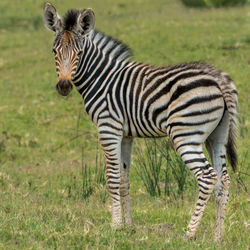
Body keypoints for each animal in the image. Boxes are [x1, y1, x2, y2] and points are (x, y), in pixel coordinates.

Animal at [43, 1, 238, 240]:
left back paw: (190, 233)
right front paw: (129, 226)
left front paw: (115, 225)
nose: (63, 86)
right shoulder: (126, 135)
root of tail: (219, 79)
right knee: (223, 181)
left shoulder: (108, 128)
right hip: (217, 136)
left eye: (79, 53)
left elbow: (112, 177)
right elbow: (124, 180)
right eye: (54, 51)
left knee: (207, 176)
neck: (101, 78)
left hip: (185, 134)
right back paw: (218, 237)